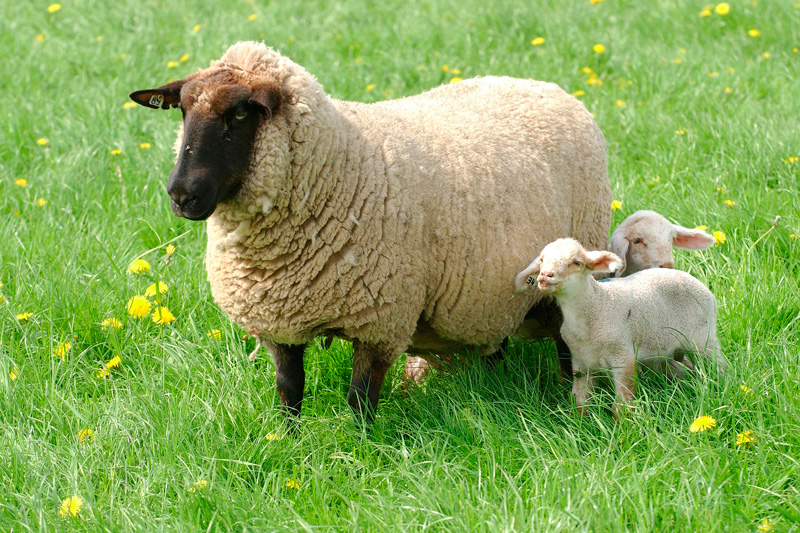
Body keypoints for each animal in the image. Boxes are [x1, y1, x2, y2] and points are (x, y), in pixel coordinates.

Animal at [130, 41, 612, 424]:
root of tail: (550, 87)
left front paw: (363, 449)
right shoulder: (280, 323)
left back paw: (568, 404)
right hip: (485, 297)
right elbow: (289, 390)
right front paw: (286, 440)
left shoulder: (382, 318)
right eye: (183, 110)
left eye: (241, 113)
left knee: (566, 349)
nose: (182, 194)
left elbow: (360, 399)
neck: (338, 166)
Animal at [516, 237, 720, 416]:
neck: (596, 304)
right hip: (662, 351)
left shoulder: (623, 357)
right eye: (542, 260)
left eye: (576, 262)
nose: (545, 276)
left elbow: (621, 407)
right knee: (681, 370)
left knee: (718, 366)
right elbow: (579, 403)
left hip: (704, 338)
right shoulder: (581, 363)